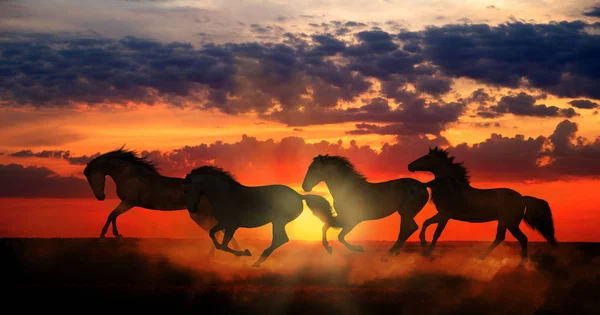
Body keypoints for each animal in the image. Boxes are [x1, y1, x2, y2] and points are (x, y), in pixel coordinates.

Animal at [84, 147, 237, 256]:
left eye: (91, 178)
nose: (101, 197)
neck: (130, 175)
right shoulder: (127, 203)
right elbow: (113, 216)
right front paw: (116, 236)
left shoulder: (129, 202)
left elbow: (112, 215)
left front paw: (106, 237)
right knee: (222, 230)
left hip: (201, 216)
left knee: (218, 231)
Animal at [184, 165, 332, 266]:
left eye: (187, 189)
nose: (192, 209)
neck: (225, 194)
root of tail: (299, 196)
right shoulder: (224, 224)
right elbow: (214, 236)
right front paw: (243, 253)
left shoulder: (231, 225)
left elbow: (223, 244)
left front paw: (245, 253)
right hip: (277, 222)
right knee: (280, 239)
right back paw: (259, 261)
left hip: (278, 221)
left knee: (281, 239)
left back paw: (258, 261)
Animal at [408, 148, 556, 266]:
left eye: (425, 157)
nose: (410, 165)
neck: (452, 187)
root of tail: (522, 198)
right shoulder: (442, 214)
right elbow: (426, 223)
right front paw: (424, 243)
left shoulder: (445, 216)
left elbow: (436, 233)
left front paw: (427, 251)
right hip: (506, 223)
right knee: (502, 237)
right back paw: (484, 257)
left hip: (510, 223)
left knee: (519, 238)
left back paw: (519, 263)